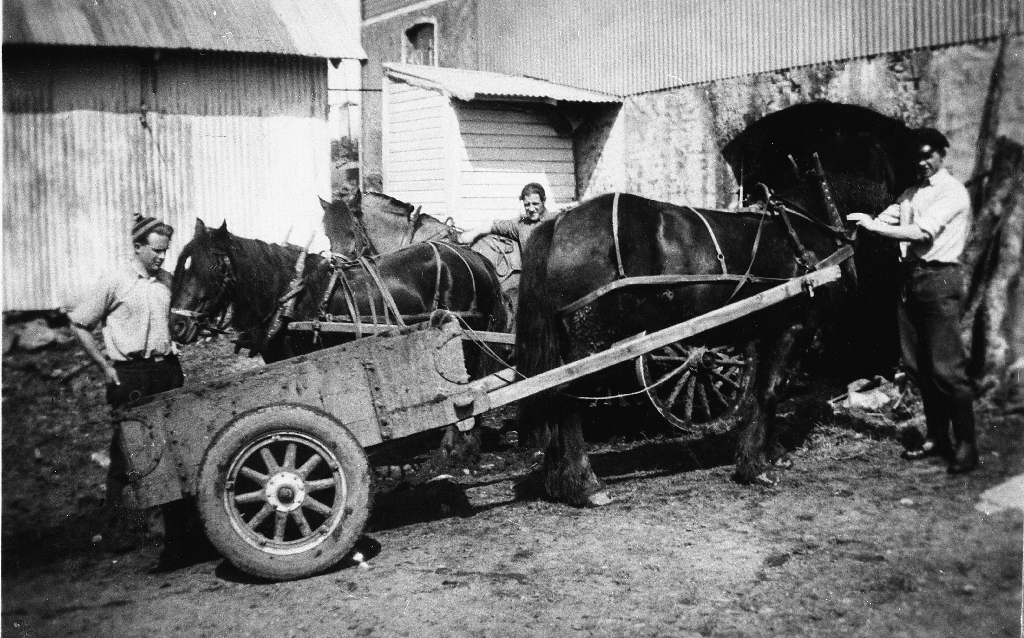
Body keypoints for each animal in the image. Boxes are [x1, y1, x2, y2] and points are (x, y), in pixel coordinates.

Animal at [516, 104, 917, 505]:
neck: (807, 224)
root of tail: (560, 222)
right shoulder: (793, 327)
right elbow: (773, 388)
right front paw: (755, 466)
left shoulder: (762, 330)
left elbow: (763, 391)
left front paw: (771, 452)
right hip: (589, 343)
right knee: (566, 402)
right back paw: (585, 484)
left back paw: (558, 480)